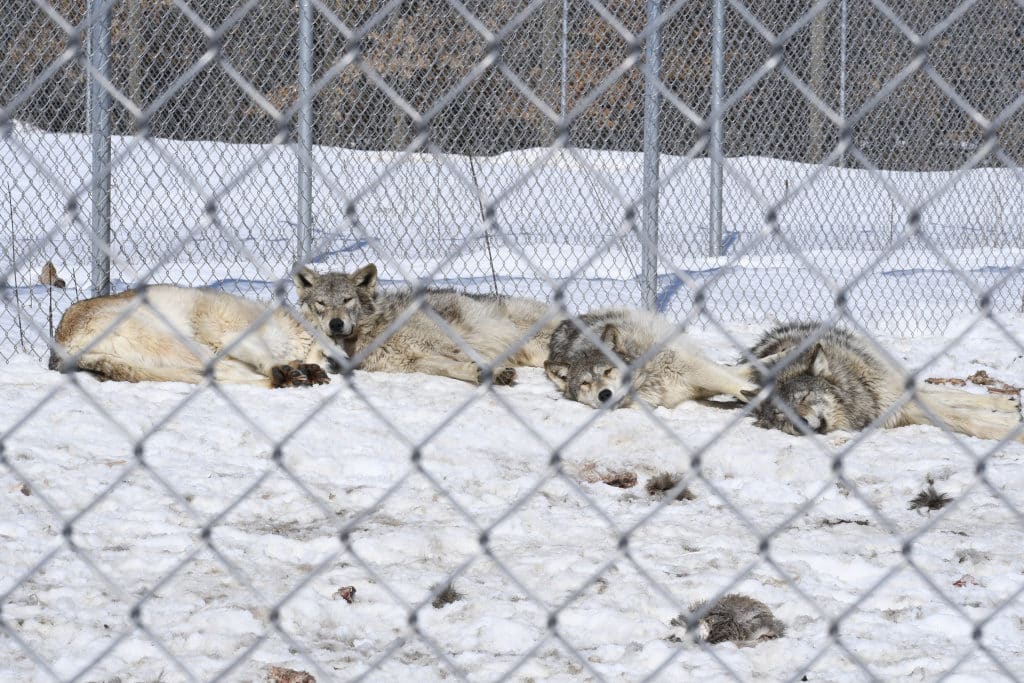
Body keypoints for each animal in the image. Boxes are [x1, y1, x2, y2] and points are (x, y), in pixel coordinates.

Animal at [292, 264, 561, 387]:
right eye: (321, 303)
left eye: (347, 300)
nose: (336, 323)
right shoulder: (418, 362)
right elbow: (452, 369)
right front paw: (480, 374)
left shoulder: (447, 343)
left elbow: (472, 357)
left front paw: (495, 372)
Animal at [544, 309, 761, 409]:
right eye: (585, 383)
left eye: (607, 370)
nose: (604, 394)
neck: (649, 380)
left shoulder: (690, 369)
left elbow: (736, 385)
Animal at [745, 321, 1024, 444]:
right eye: (780, 415)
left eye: (804, 397)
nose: (800, 422)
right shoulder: (904, 411)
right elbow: (958, 415)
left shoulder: (899, 401)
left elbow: (964, 416)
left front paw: (1011, 427)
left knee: (952, 395)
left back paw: (1007, 403)